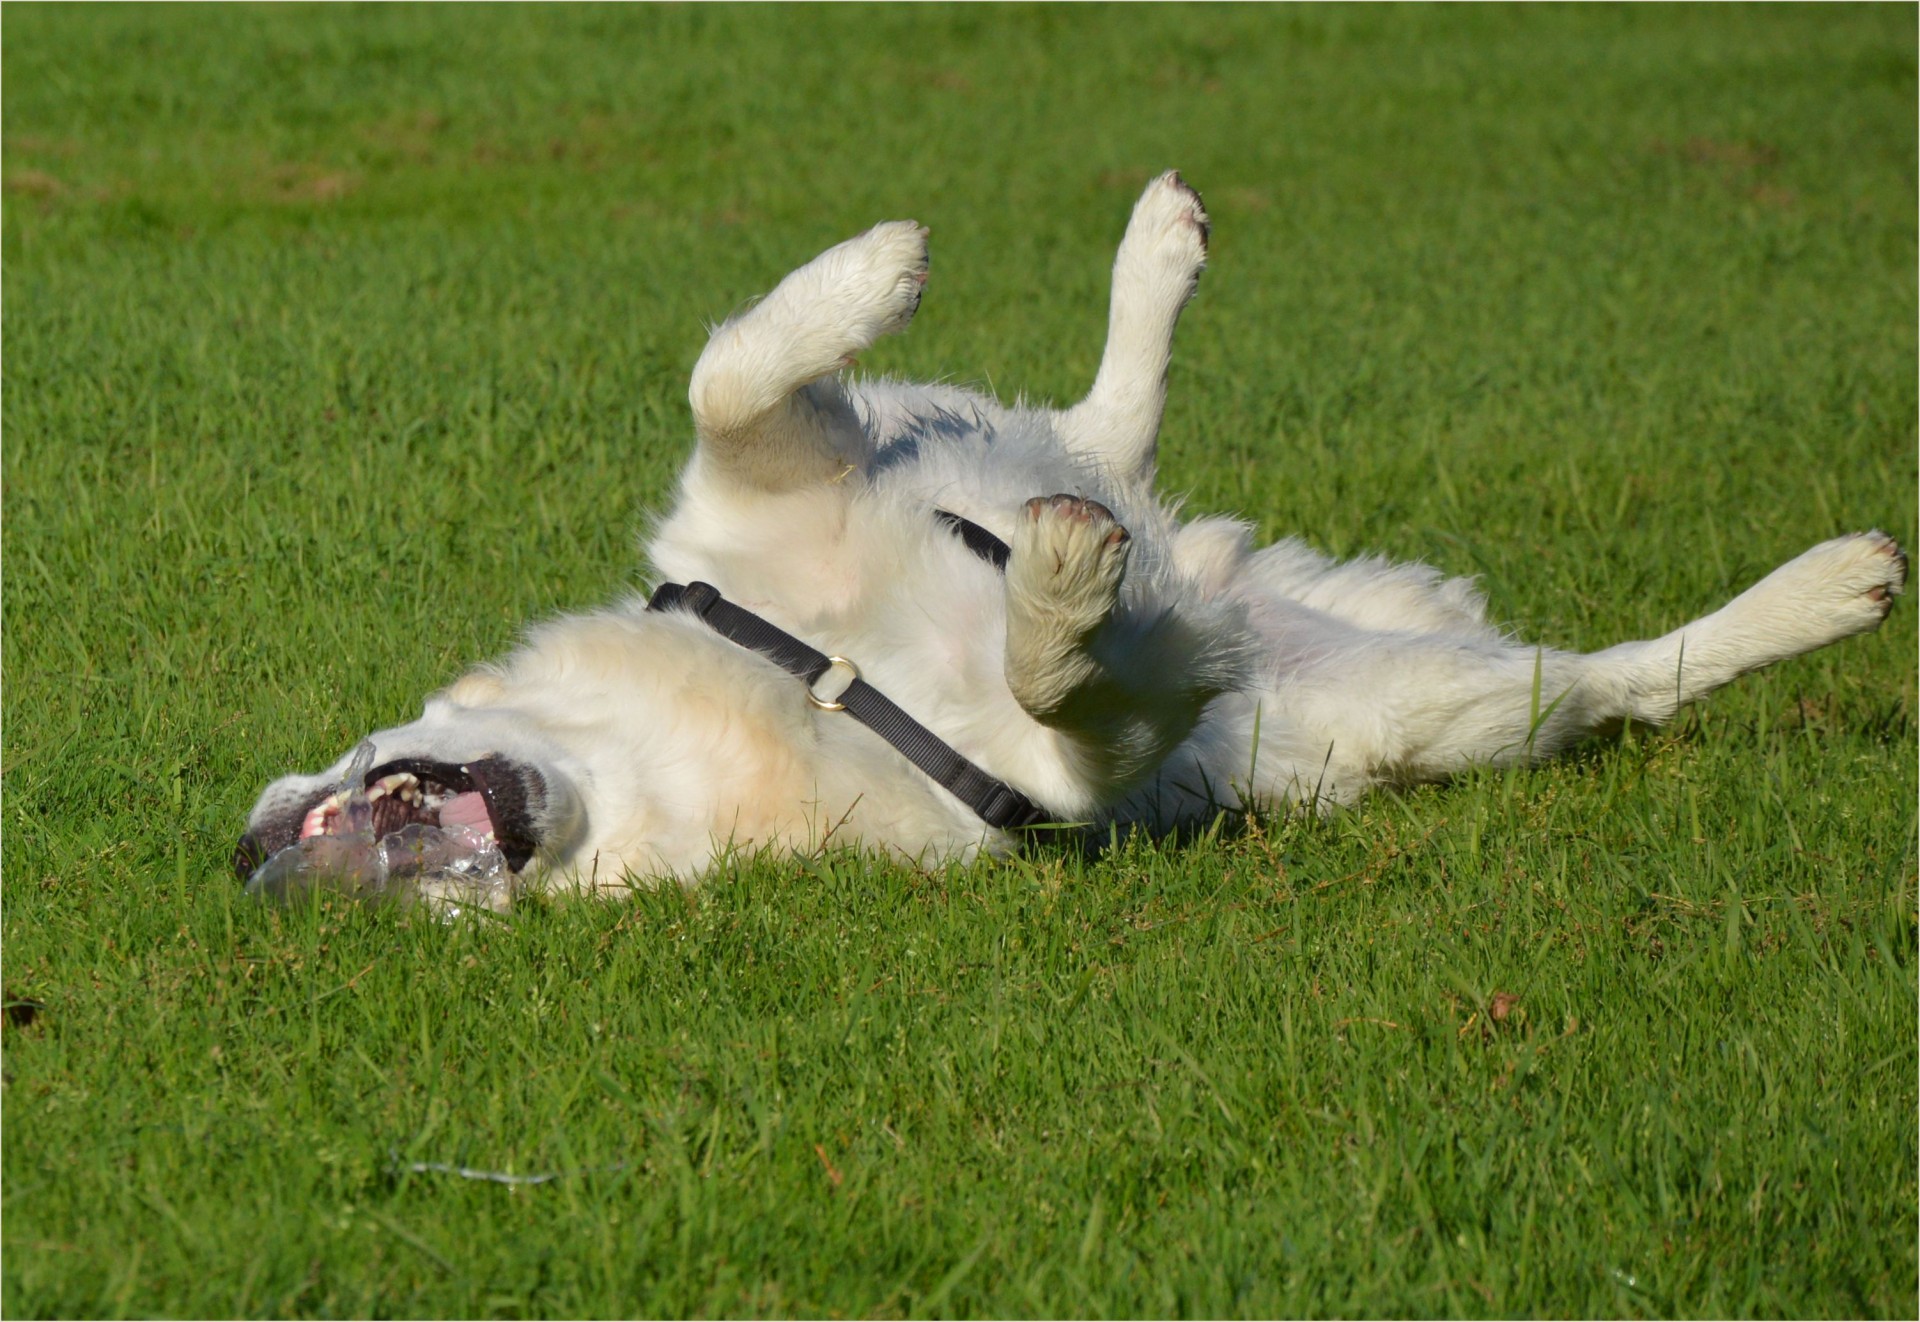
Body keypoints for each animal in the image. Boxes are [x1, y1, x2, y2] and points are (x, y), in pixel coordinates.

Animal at [236, 172, 1904, 897]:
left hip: (977, 436)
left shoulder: (777, 476)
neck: (791, 684)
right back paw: (1828, 589)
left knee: (1102, 425)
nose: (279, 865)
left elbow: (730, 370)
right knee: (1632, 674)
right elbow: (1061, 676)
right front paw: (1065, 590)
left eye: (319, 829)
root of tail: (1240, 574)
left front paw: (872, 272)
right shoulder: (1054, 775)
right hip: (1451, 708)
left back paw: (1153, 253)